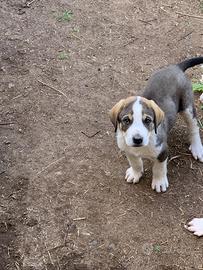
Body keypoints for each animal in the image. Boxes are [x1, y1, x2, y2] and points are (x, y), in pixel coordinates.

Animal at [109, 56, 203, 192]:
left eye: (148, 120)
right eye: (126, 120)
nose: (137, 139)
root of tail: (176, 67)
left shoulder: (162, 151)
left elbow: (159, 168)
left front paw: (159, 182)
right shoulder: (127, 149)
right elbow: (135, 162)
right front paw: (135, 173)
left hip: (187, 107)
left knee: (194, 127)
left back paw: (197, 148)